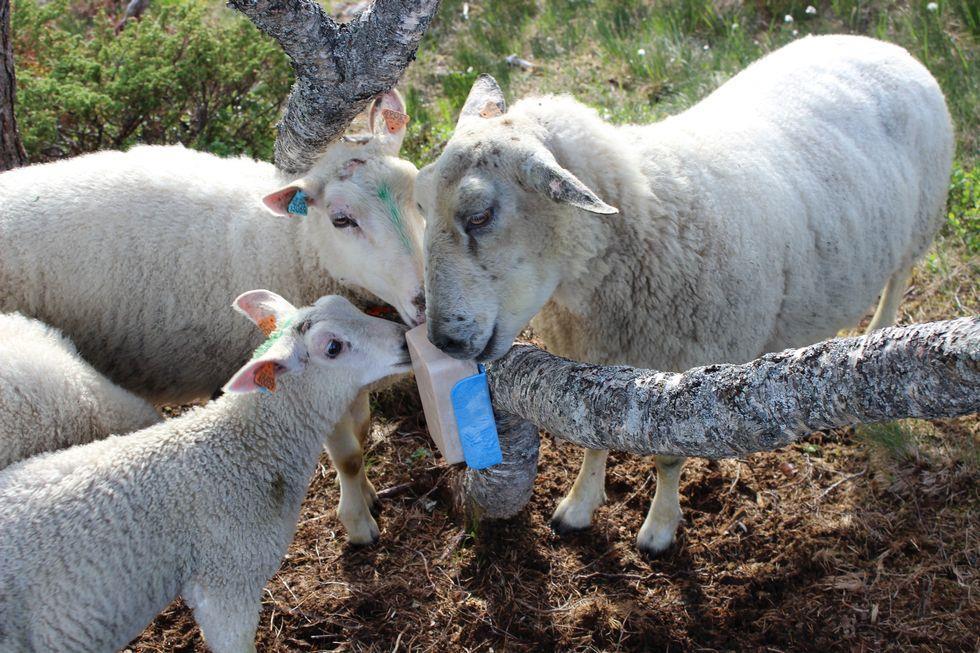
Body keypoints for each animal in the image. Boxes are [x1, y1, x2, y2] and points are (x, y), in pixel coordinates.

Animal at [418, 35, 952, 552]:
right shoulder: (590, 367)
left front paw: (659, 529)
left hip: (921, 223)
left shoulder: (686, 374)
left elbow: (668, 461)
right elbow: (592, 440)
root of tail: (884, 45)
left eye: (480, 216)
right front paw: (579, 505)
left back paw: (879, 332)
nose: (442, 341)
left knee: (898, 280)